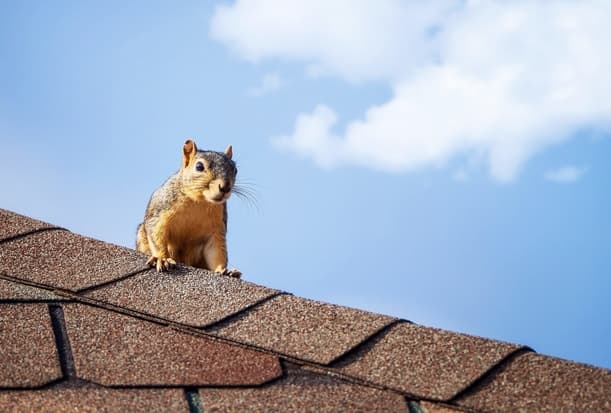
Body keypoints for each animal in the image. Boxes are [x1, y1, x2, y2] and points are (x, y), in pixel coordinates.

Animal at [136, 139, 241, 276]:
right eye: (199, 166)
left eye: (235, 170)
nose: (225, 187)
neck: (199, 201)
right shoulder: (160, 212)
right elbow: (157, 234)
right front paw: (162, 258)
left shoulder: (216, 228)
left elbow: (216, 250)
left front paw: (223, 269)